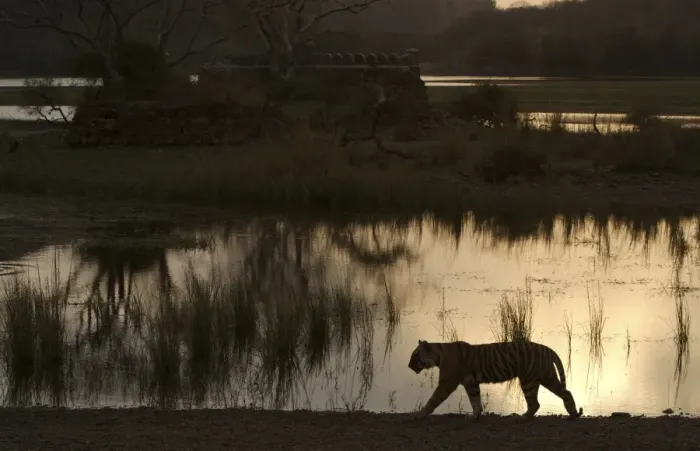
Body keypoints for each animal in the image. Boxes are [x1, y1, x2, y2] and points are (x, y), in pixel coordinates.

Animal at [408, 339, 583, 421]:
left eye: (415, 354)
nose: (409, 366)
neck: (438, 355)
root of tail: (547, 348)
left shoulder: (447, 383)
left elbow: (432, 400)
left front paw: (418, 415)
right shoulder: (471, 383)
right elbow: (475, 400)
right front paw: (474, 416)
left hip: (529, 380)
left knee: (536, 403)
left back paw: (522, 418)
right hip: (546, 377)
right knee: (565, 392)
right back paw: (573, 413)